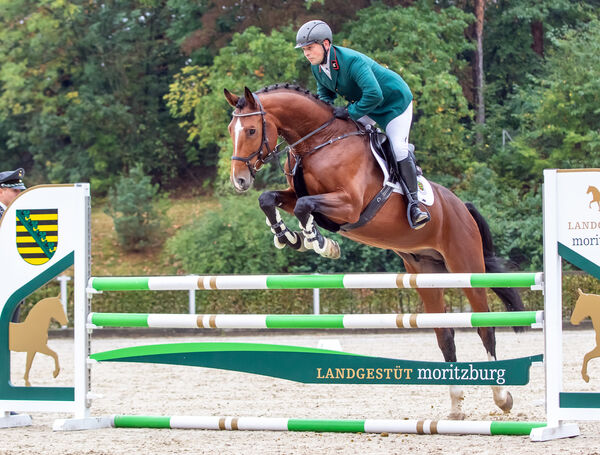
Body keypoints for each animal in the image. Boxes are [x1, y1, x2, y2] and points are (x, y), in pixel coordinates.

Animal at [224, 84, 524, 420]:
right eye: (231, 130)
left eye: (251, 130)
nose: (239, 180)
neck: (317, 143)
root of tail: (463, 207)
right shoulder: (297, 195)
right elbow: (269, 198)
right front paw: (288, 237)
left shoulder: (349, 204)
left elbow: (304, 206)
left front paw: (321, 243)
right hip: (426, 274)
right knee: (445, 335)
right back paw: (456, 406)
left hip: (465, 267)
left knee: (485, 327)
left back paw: (502, 397)